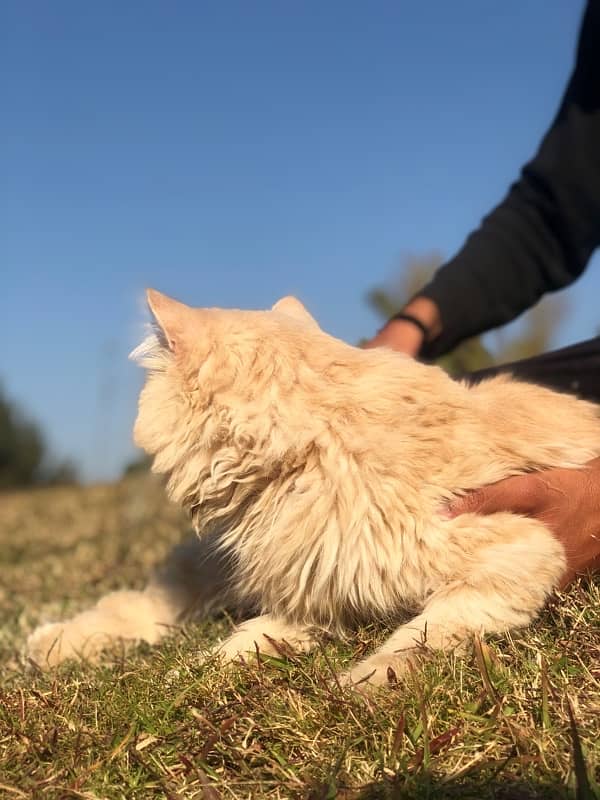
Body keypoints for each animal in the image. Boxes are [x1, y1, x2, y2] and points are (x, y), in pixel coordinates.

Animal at [27, 290, 600, 684]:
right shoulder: (312, 583)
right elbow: (235, 643)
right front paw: (185, 680)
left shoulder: (523, 549)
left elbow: (427, 634)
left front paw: (369, 682)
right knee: (145, 602)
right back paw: (51, 644)